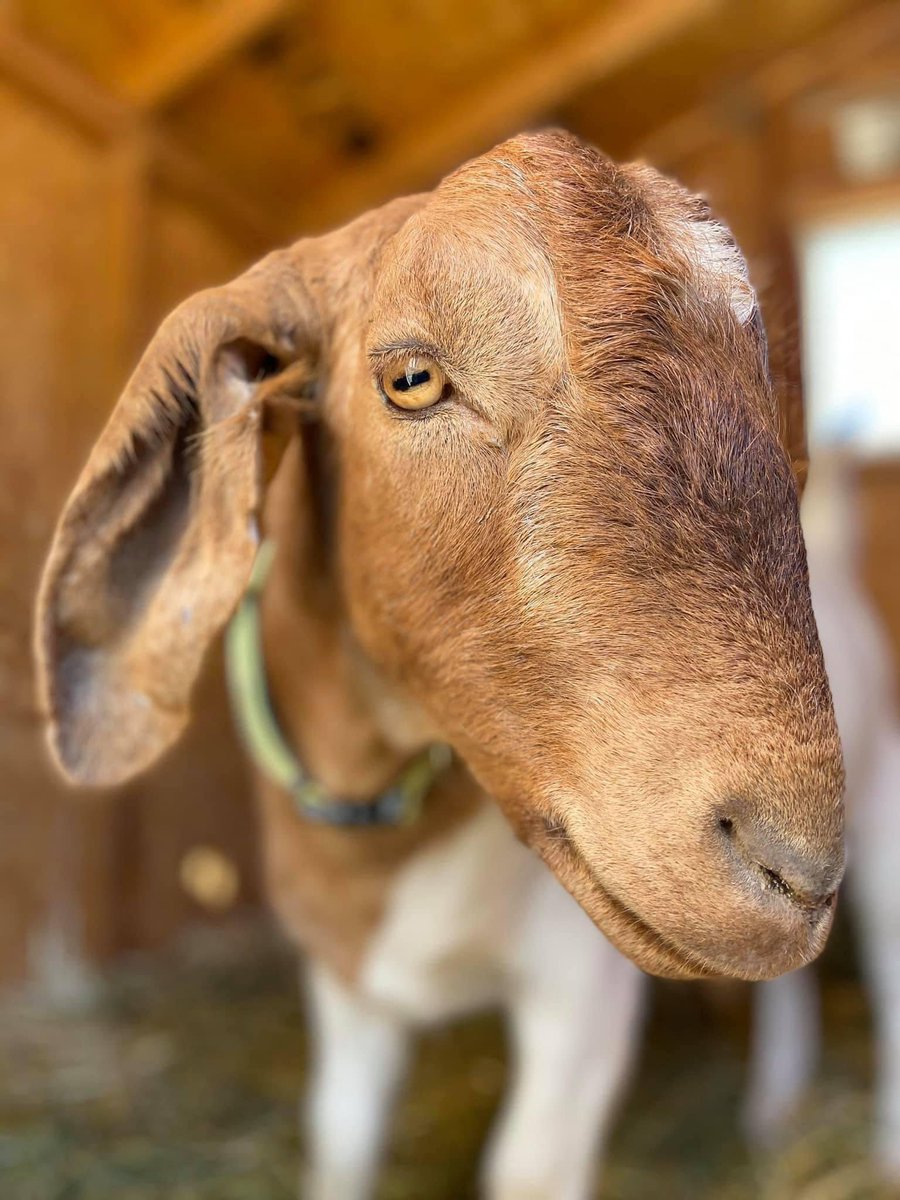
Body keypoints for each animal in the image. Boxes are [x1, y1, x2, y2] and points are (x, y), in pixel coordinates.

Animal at [35, 131, 849, 1200]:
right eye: (413, 380)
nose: (792, 866)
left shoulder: (578, 996)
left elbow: (526, 1166)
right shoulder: (345, 992)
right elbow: (340, 1137)